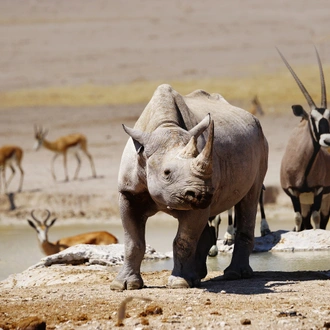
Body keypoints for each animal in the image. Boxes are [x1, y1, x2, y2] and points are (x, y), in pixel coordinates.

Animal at [278, 47, 330, 231]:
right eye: (312, 118)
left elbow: (316, 219)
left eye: (329, 118)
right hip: (306, 201)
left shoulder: (319, 190)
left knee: (321, 220)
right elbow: (298, 219)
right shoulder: (292, 191)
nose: (327, 140)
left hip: (325, 201)